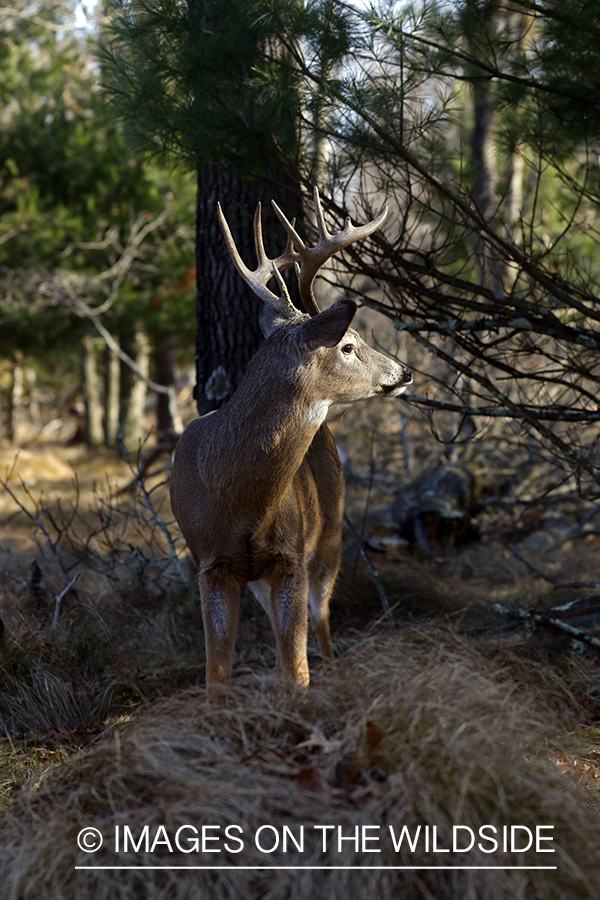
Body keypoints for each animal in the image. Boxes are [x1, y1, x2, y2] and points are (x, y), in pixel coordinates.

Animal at [170, 188, 412, 696]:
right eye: (347, 344)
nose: (404, 371)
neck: (238, 499)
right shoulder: (209, 564)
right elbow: (216, 674)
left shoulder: (291, 558)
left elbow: (296, 667)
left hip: (331, 535)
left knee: (321, 623)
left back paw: (336, 676)